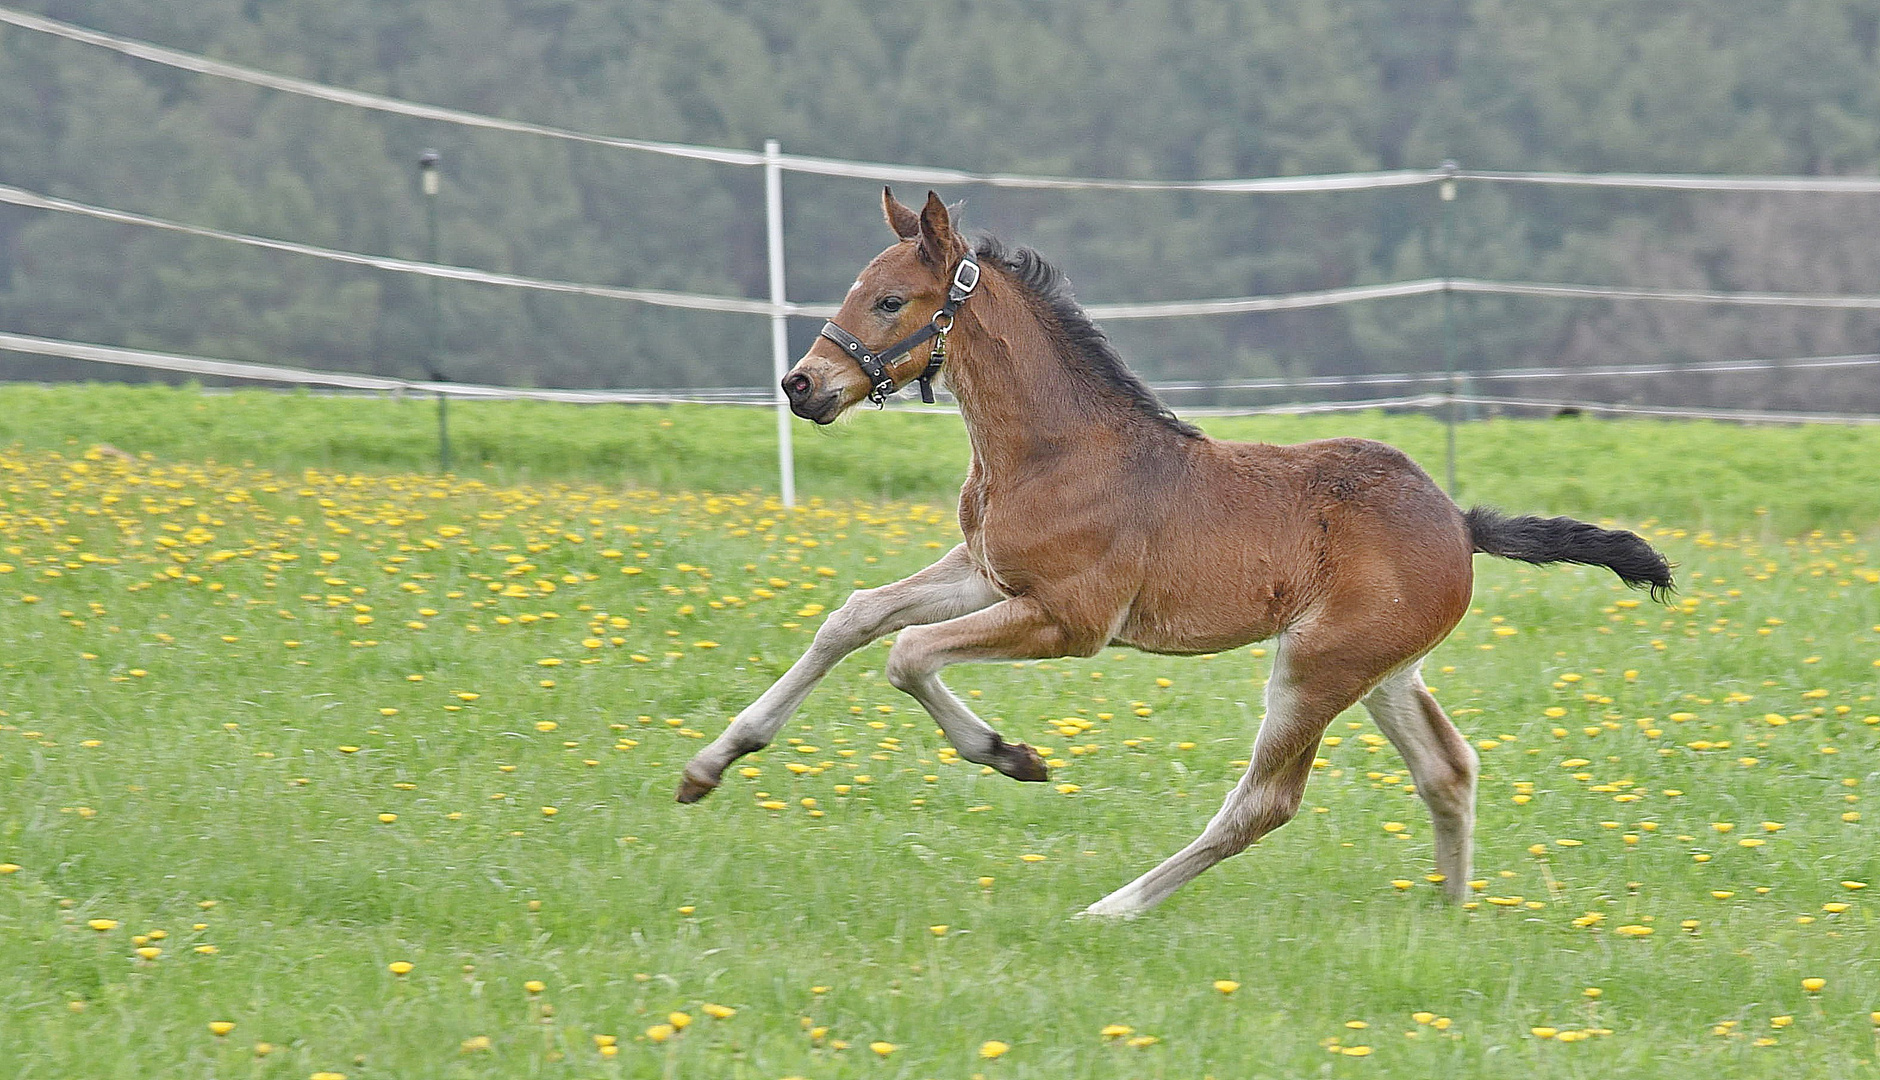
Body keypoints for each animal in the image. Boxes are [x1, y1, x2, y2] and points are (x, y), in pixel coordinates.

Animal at [680, 190, 1676, 918]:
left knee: (1267, 803)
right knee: (1448, 769)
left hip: (1317, 665)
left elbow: (906, 654)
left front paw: (1011, 754)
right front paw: (712, 763)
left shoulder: (1071, 620)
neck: (1055, 449)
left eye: (890, 300)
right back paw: (1450, 914)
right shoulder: (984, 572)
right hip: (1382, 671)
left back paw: (1114, 907)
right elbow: (854, 617)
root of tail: (1461, 523)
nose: (802, 383)